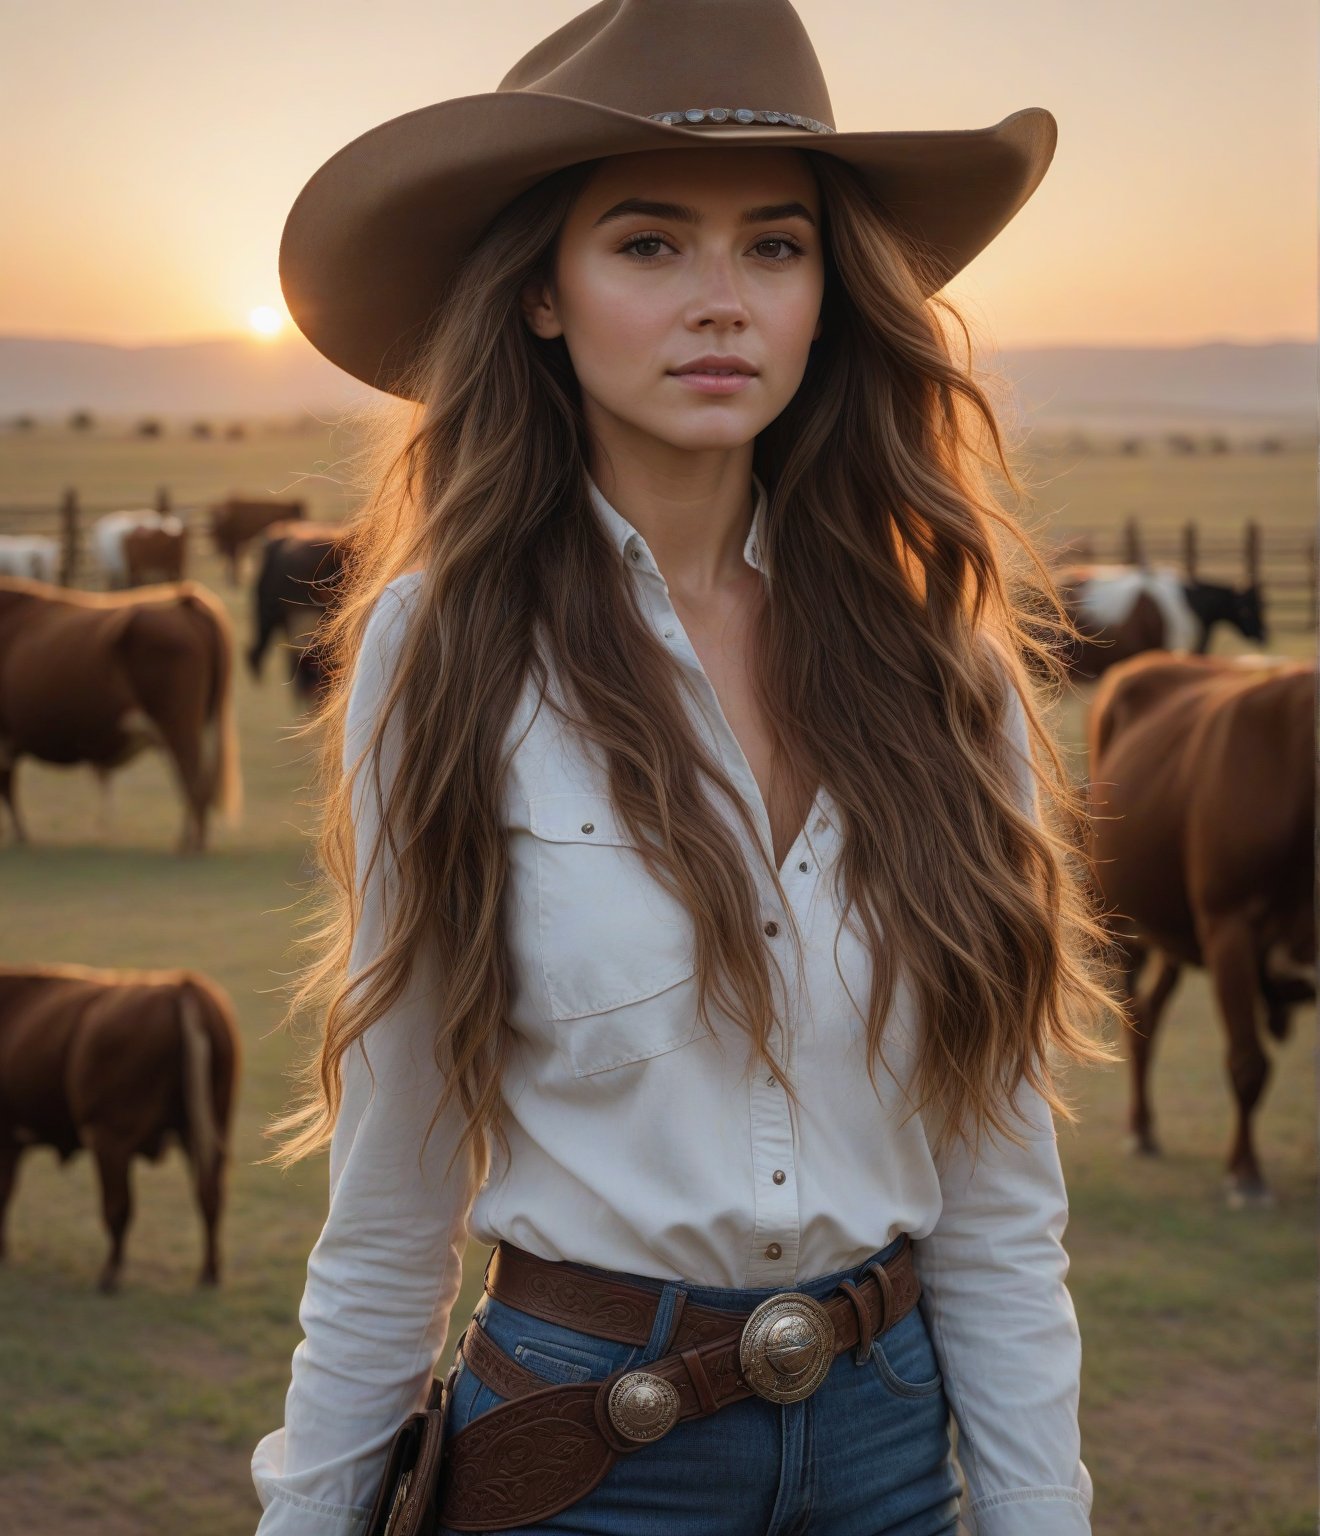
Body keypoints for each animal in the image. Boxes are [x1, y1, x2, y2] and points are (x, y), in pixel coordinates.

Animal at [0, 574, 242, 854]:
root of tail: (185, 601)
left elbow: (6, 788)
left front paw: (19, 835)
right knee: (192, 781)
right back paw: (186, 840)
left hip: (178, 726)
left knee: (193, 780)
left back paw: (193, 845)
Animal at [0, 964, 241, 1290]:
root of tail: (181, 985)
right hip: (205, 1132)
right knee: (209, 1196)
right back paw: (209, 1273)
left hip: (111, 1140)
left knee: (118, 1207)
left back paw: (109, 1275)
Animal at [1081, 654, 1309, 1204]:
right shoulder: (1230, 930)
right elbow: (1248, 1062)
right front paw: (1245, 1174)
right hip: (1124, 922)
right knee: (1137, 1018)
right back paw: (1141, 1128)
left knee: (1148, 1017)